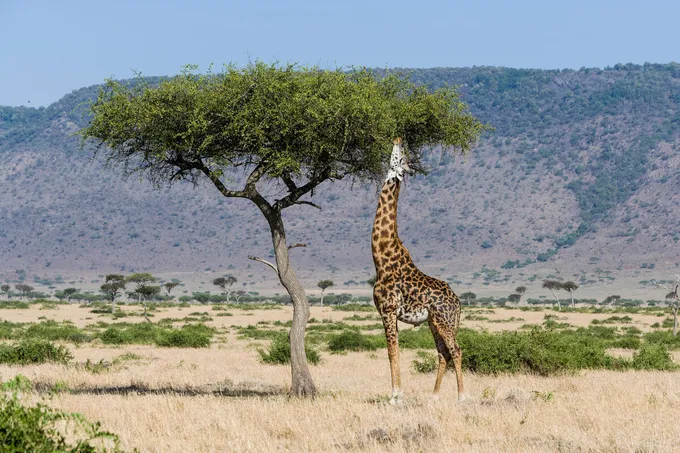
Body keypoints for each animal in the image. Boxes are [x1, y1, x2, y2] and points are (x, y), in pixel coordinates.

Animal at [372, 138, 465, 405]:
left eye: (399, 157)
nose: (397, 139)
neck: (381, 258)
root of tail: (458, 302)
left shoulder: (388, 309)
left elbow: (393, 351)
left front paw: (395, 396)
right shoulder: (387, 312)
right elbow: (393, 351)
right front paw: (396, 394)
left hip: (444, 320)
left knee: (456, 350)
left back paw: (462, 396)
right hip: (434, 322)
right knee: (443, 353)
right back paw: (433, 397)